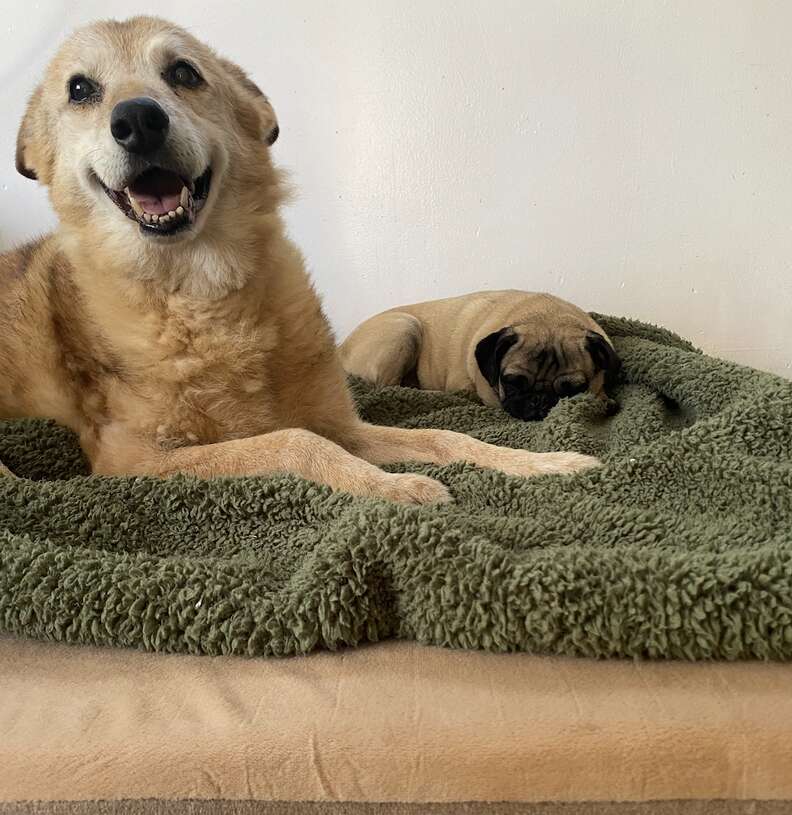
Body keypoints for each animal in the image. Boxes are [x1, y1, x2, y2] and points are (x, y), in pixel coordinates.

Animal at [344, 294, 620, 420]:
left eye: (574, 390)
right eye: (511, 382)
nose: (539, 400)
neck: (546, 315)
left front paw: (604, 400)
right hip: (406, 327)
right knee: (388, 387)